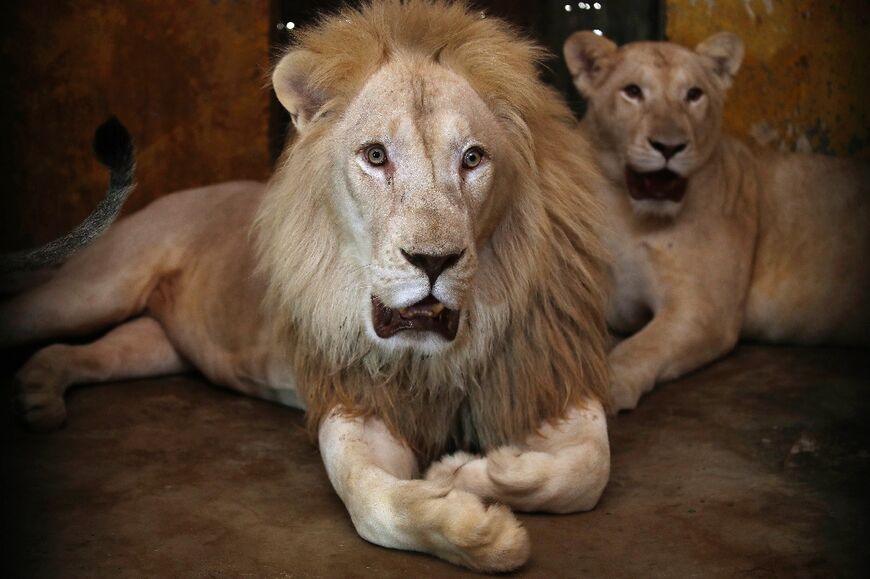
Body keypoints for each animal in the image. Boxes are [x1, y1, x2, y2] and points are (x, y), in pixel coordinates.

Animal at [0, 0, 612, 572]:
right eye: (375, 156)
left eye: (473, 158)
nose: (432, 261)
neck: (434, 358)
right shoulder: (356, 399)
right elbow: (373, 503)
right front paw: (477, 530)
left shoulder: (547, 372)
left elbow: (588, 470)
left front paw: (477, 471)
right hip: (93, 291)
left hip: (153, 345)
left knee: (79, 354)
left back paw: (39, 394)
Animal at [564, 31, 870, 412]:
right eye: (632, 91)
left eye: (694, 94)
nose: (669, 146)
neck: (628, 215)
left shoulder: (704, 310)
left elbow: (641, 346)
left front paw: (608, 386)